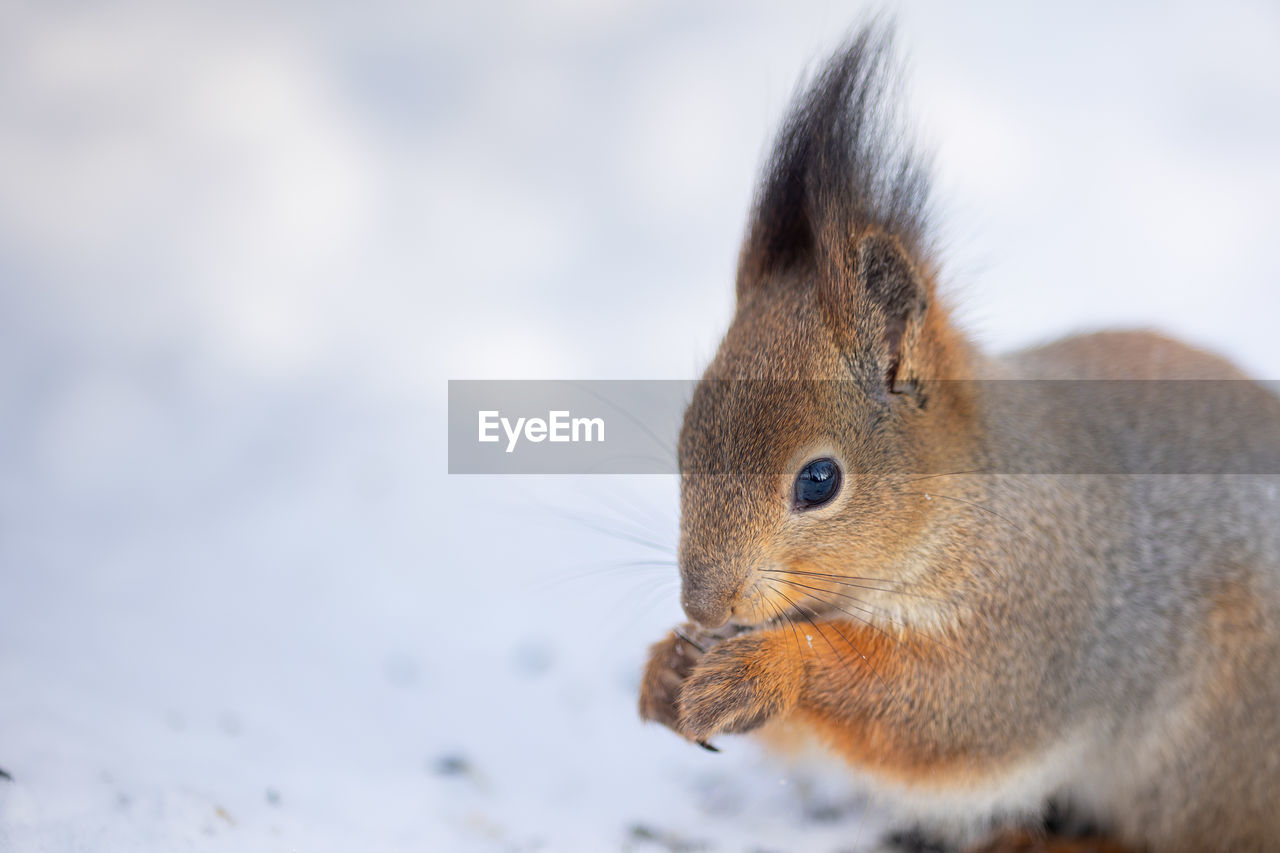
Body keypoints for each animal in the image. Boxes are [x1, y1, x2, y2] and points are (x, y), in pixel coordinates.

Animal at [640, 19, 1280, 850]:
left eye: (819, 479)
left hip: (1219, 738)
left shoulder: (1034, 615)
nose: (705, 607)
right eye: (683, 443)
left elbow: (946, 708)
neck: (971, 508)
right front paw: (666, 669)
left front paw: (769, 666)